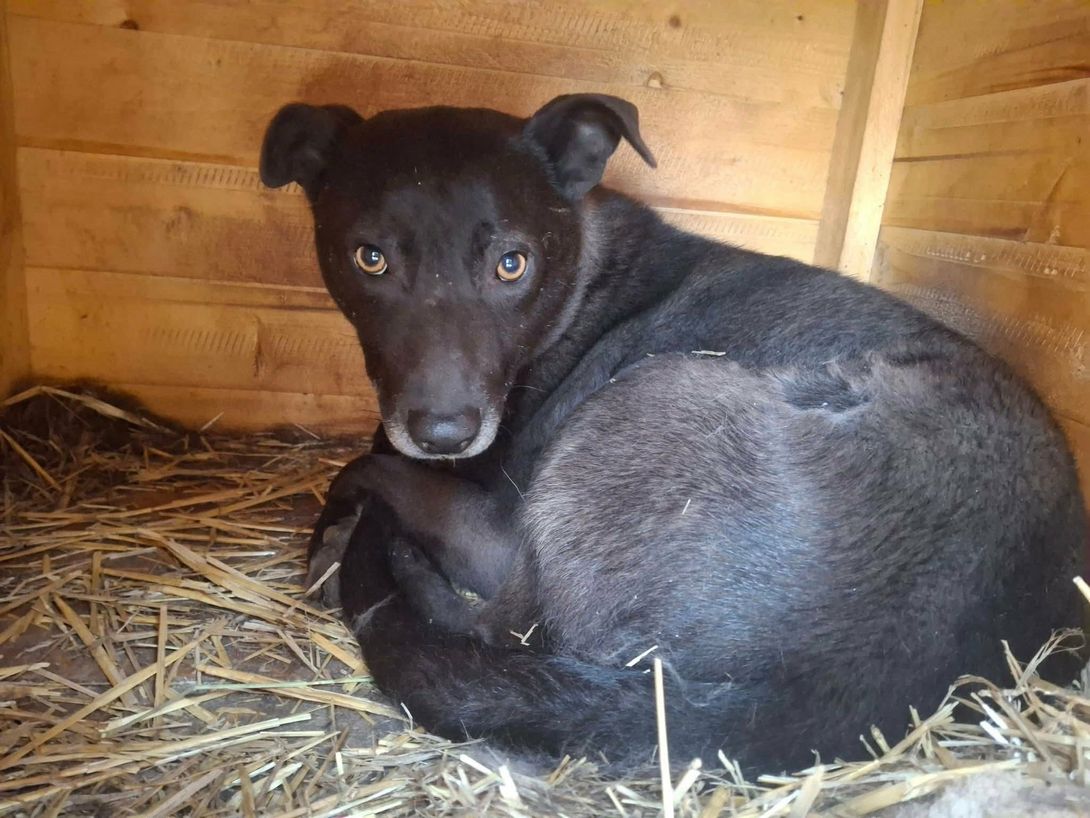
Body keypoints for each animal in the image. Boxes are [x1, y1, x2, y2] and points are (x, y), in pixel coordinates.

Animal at [259, 93, 1087, 774]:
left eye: (512, 264)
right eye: (370, 258)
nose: (443, 432)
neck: (579, 281)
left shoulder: (491, 510)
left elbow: (364, 466)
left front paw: (340, 530)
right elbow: (374, 448)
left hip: (645, 402)